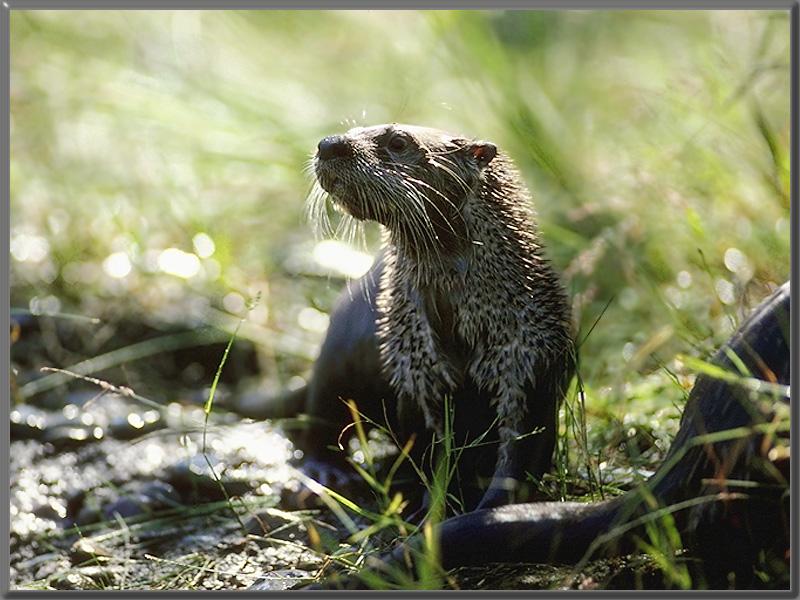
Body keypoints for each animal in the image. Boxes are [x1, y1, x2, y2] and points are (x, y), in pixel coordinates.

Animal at [278, 123, 572, 510]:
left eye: (398, 141)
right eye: (354, 129)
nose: (329, 144)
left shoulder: (529, 363)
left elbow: (520, 458)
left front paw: (485, 509)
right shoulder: (417, 372)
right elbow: (429, 453)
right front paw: (431, 509)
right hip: (336, 353)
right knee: (322, 413)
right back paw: (324, 475)